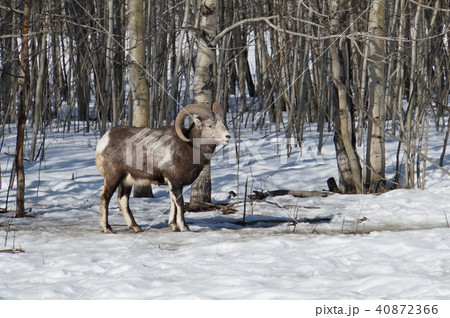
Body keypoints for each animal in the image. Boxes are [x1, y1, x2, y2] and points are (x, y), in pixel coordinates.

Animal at [94, 103, 229, 232]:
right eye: (210, 126)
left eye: (223, 123)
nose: (228, 136)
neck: (190, 147)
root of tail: (104, 140)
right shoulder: (175, 181)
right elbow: (179, 203)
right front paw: (184, 227)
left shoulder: (173, 184)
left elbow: (173, 203)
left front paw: (173, 226)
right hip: (113, 178)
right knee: (105, 197)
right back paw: (107, 228)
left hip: (126, 181)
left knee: (122, 200)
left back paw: (136, 227)